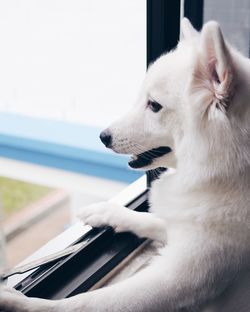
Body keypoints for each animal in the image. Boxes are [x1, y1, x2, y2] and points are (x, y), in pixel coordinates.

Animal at [0, 18, 250, 312]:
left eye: (154, 105)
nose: (103, 136)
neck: (226, 171)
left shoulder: (180, 277)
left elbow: (89, 302)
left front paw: (23, 304)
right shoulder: (180, 227)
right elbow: (147, 218)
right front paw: (107, 212)